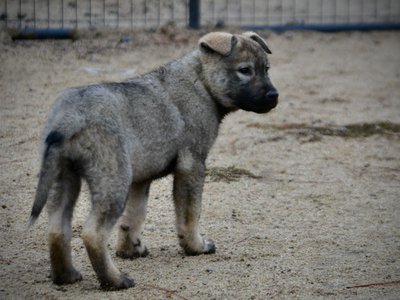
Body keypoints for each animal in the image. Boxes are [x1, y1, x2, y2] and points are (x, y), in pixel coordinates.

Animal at [29, 31, 278, 290]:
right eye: (245, 70)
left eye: (266, 69)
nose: (274, 96)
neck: (202, 82)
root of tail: (70, 116)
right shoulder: (192, 165)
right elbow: (190, 214)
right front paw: (196, 247)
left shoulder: (141, 180)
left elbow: (134, 216)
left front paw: (130, 249)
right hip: (113, 182)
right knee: (92, 234)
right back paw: (115, 280)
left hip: (63, 178)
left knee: (57, 229)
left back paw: (66, 275)